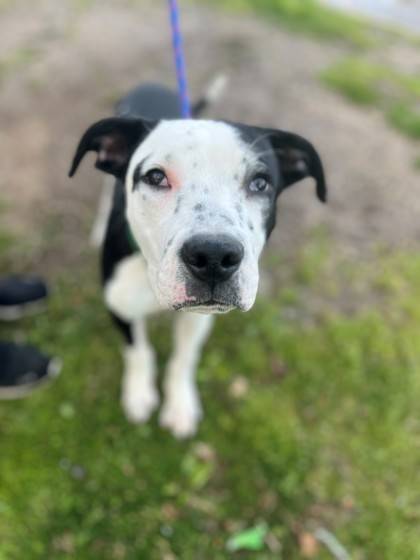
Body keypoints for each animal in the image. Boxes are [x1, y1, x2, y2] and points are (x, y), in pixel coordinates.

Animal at [69, 82, 326, 438]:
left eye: (260, 182)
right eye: (155, 177)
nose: (215, 256)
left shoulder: (199, 318)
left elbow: (183, 358)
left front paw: (179, 404)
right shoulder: (121, 307)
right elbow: (138, 352)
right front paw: (138, 393)